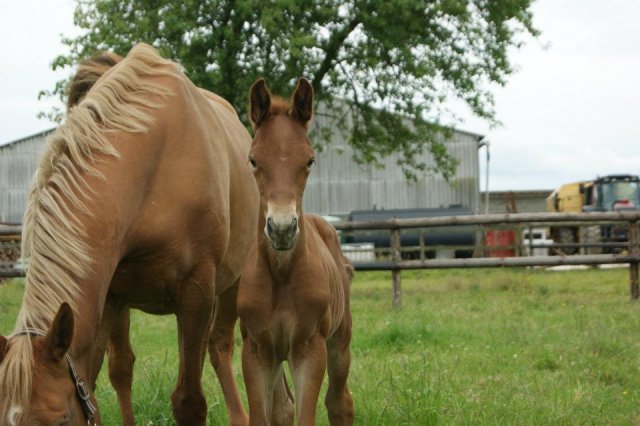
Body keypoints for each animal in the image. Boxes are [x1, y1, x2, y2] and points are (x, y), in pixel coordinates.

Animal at [0, 43, 255, 426]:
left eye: (60, 420)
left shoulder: (196, 293)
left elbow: (189, 402)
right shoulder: (107, 297)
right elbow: (97, 384)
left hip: (233, 283)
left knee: (221, 345)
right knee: (123, 368)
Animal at [238, 78, 356, 424]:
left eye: (309, 160)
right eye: (253, 160)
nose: (281, 228)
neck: (281, 274)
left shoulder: (309, 347)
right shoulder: (256, 350)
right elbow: (264, 416)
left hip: (340, 340)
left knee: (339, 401)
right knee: (283, 409)